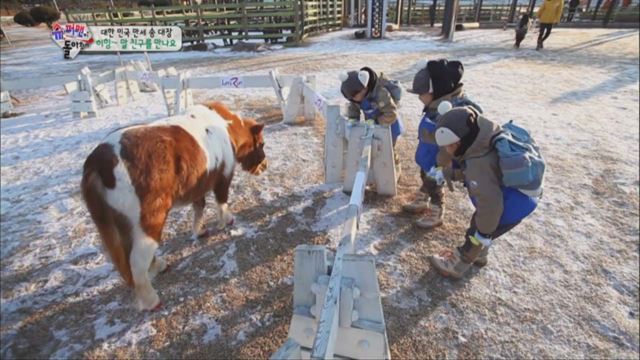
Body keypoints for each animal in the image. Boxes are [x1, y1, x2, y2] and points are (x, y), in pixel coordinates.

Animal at [81, 101, 266, 310]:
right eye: (262, 144)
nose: (264, 165)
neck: (224, 126)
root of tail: (98, 162)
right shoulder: (223, 177)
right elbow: (222, 201)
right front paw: (227, 221)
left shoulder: (199, 185)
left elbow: (199, 207)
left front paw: (199, 231)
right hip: (149, 220)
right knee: (137, 261)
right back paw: (152, 301)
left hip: (124, 223)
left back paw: (158, 267)